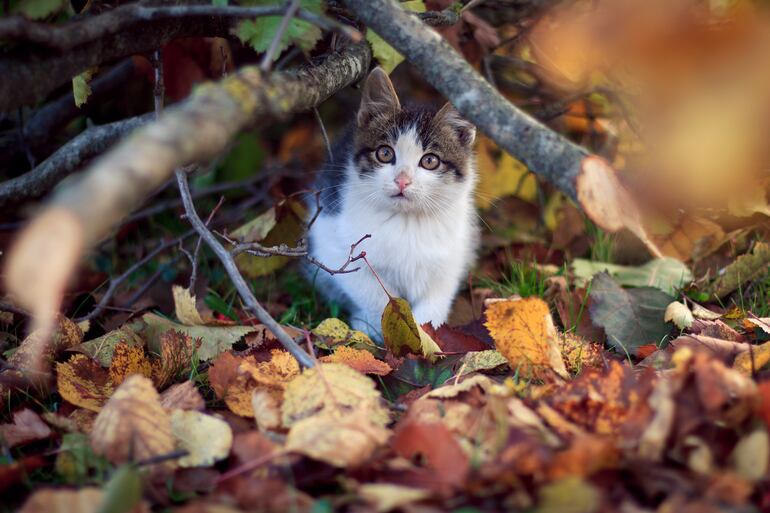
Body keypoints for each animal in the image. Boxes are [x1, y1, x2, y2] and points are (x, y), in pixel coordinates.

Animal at [304, 66, 474, 334]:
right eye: (385, 153)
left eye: (430, 160)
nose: (402, 180)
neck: (406, 221)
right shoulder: (329, 240)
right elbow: (372, 292)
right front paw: (374, 328)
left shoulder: (451, 254)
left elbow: (436, 299)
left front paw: (427, 336)